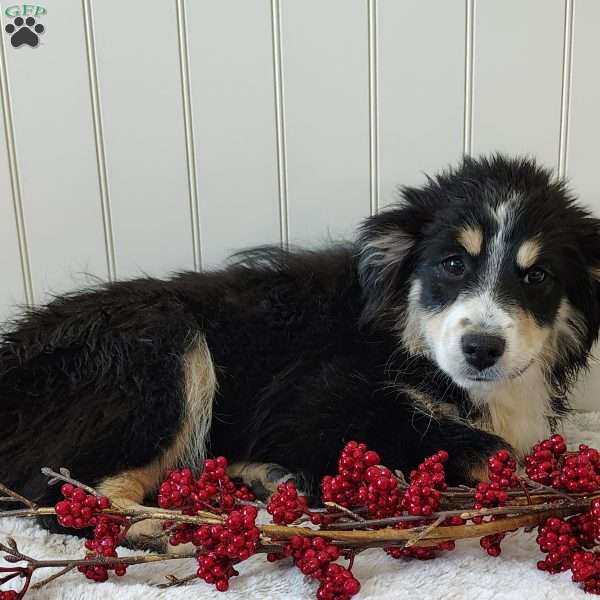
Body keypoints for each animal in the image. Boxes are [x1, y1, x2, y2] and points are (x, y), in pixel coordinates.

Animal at [1, 155, 600, 548]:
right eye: (452, 264)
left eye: (538, 276)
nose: (481, 349)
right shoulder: (309, 405)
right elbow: (483, 444)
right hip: (161, 343)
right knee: (56, 496)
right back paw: (158, 528)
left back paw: (260, 480)